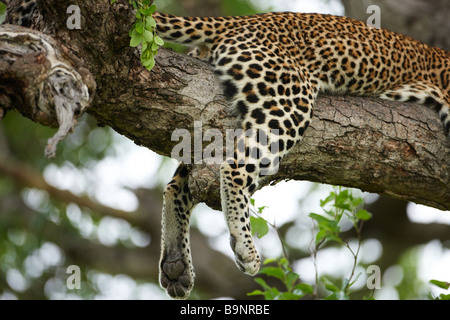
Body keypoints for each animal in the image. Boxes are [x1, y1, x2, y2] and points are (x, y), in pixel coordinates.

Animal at [153, 10, 448, 300]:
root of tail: (241, 20)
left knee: (178, 185)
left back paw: (176, 266)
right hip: (288, 103)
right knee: (234, 167)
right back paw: (246, 248)